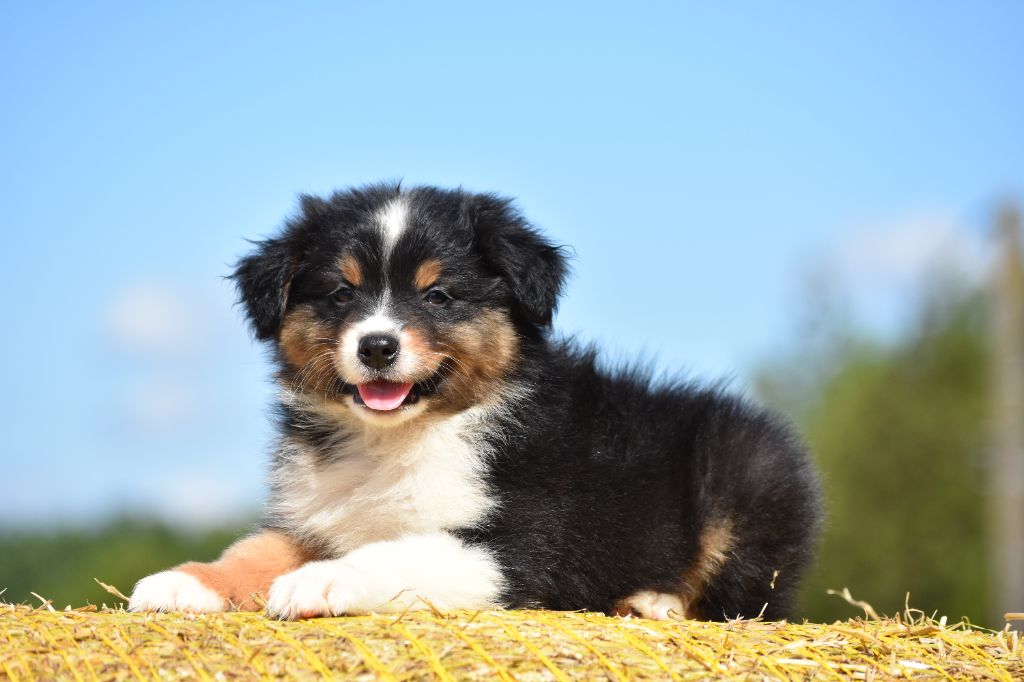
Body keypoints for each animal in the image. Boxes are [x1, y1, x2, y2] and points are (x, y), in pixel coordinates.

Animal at [128, 183, 821, 621]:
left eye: (438, 296)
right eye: (340, 294)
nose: (377, 346)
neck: (400, 437)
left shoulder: (514, 546)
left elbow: (399, 551)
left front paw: (323, 580)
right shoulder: (319, 515)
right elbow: (255, 549)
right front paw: (184, 581)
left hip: (748, 475)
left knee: (745, 600)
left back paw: (654, 601)